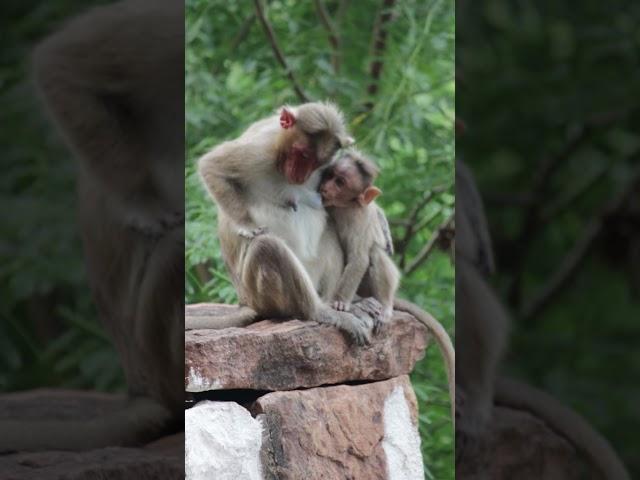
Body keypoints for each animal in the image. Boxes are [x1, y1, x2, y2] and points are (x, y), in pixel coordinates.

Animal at [0, 0, 185, 452]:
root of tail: (143, 386)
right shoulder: (170, 33)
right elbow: (58, 63)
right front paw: (145, 207)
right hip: (156, 352)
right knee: (176, 245)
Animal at [192, 101, 382, 344]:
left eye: (317, 163)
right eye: (303, 154)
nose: (301, 176)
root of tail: (245, 302)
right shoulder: (260, 150)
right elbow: (212, 167)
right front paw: (247, 226)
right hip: (258, 293)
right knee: (267, 246)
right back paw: (320, 312)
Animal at [320, 148, 400, 326]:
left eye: (340, 182)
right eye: (330, 175)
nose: (325, 187)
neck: (343, 207)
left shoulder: (359, 220)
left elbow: (359, 259)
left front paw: (340, 301)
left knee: (375, 252)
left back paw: (385, 305)